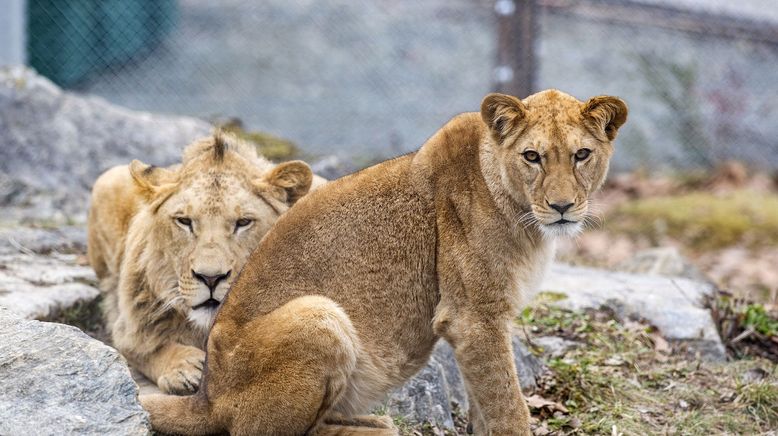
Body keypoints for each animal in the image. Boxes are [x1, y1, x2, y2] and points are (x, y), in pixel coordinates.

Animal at [87, 133, 322, 396]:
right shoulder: (128, 329)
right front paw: (185, 368)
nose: (211, 278)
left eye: (244, 222)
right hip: (107, 180)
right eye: (184, 221)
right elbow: (149, 348)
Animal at [139, 90, 624, 434]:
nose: (562, 207)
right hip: (319, 316)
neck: (523, 217)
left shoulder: (474, 327)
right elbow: (508, 407)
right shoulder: (473, 316)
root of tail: (207, 396)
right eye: (532, 156)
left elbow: (483, 404)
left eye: (581, 155)